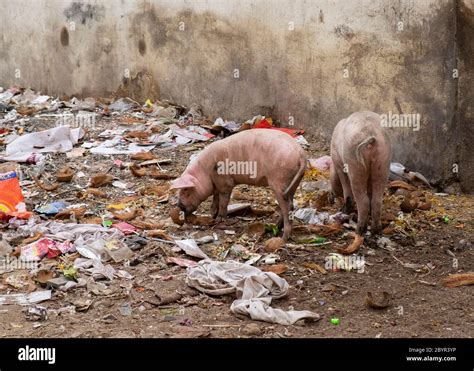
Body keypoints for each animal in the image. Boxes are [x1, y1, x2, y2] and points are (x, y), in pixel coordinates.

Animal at [170, 129, 308, 240]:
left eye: (185, 191)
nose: (179, 206)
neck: (206, 171)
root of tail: (301, 155)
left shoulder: (225, 182)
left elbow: (223, 201)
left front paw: (220, 219)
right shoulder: (217, 183)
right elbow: (216, 197)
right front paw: (212, 214)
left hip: (279, 180)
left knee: (287, 207)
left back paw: (282, 238)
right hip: (293, 182)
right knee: (290, 205)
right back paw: (275, 228)